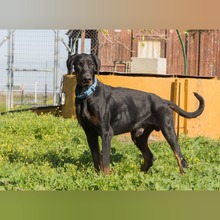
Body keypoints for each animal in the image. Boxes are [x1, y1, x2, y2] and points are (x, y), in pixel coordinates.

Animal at [66, 52, 205, 175]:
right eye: (79, 64)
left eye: (92, 64)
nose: (87, 79)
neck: (87, 95)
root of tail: (163, 101)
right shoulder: (90, 134)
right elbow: (96, 159)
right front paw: (97, 176)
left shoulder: (106, 133)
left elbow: (105, 160)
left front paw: (105, 178)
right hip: (139, 136)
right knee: (150, 157)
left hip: (168, 129)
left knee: (180, 157)